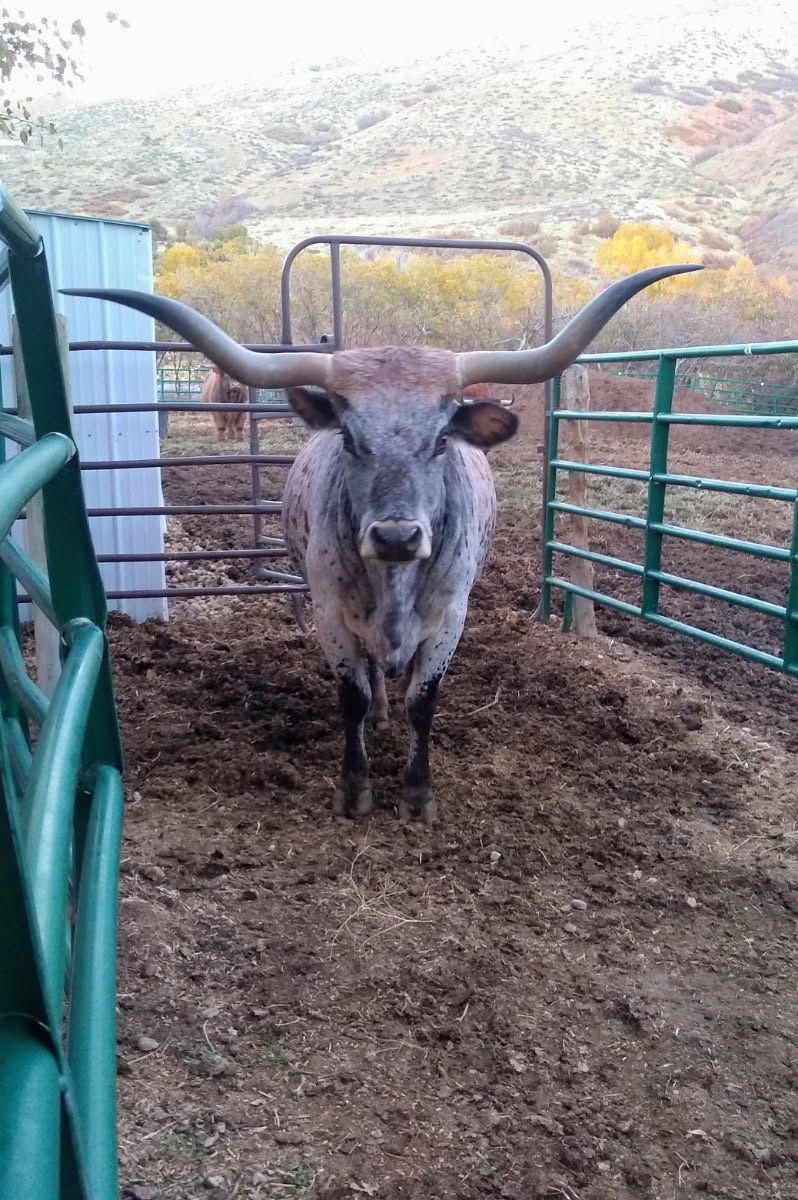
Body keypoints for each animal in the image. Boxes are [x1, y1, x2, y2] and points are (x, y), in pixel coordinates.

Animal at [63, 263, 701, 825]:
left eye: (442, 437)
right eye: (348, 436)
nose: (397, 535)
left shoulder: (450, 616)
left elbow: (424, 699)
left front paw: (417, 796)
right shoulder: (330, 612)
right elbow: (352, 695)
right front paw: (355, 789)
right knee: (373, 677)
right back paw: (378, 718)